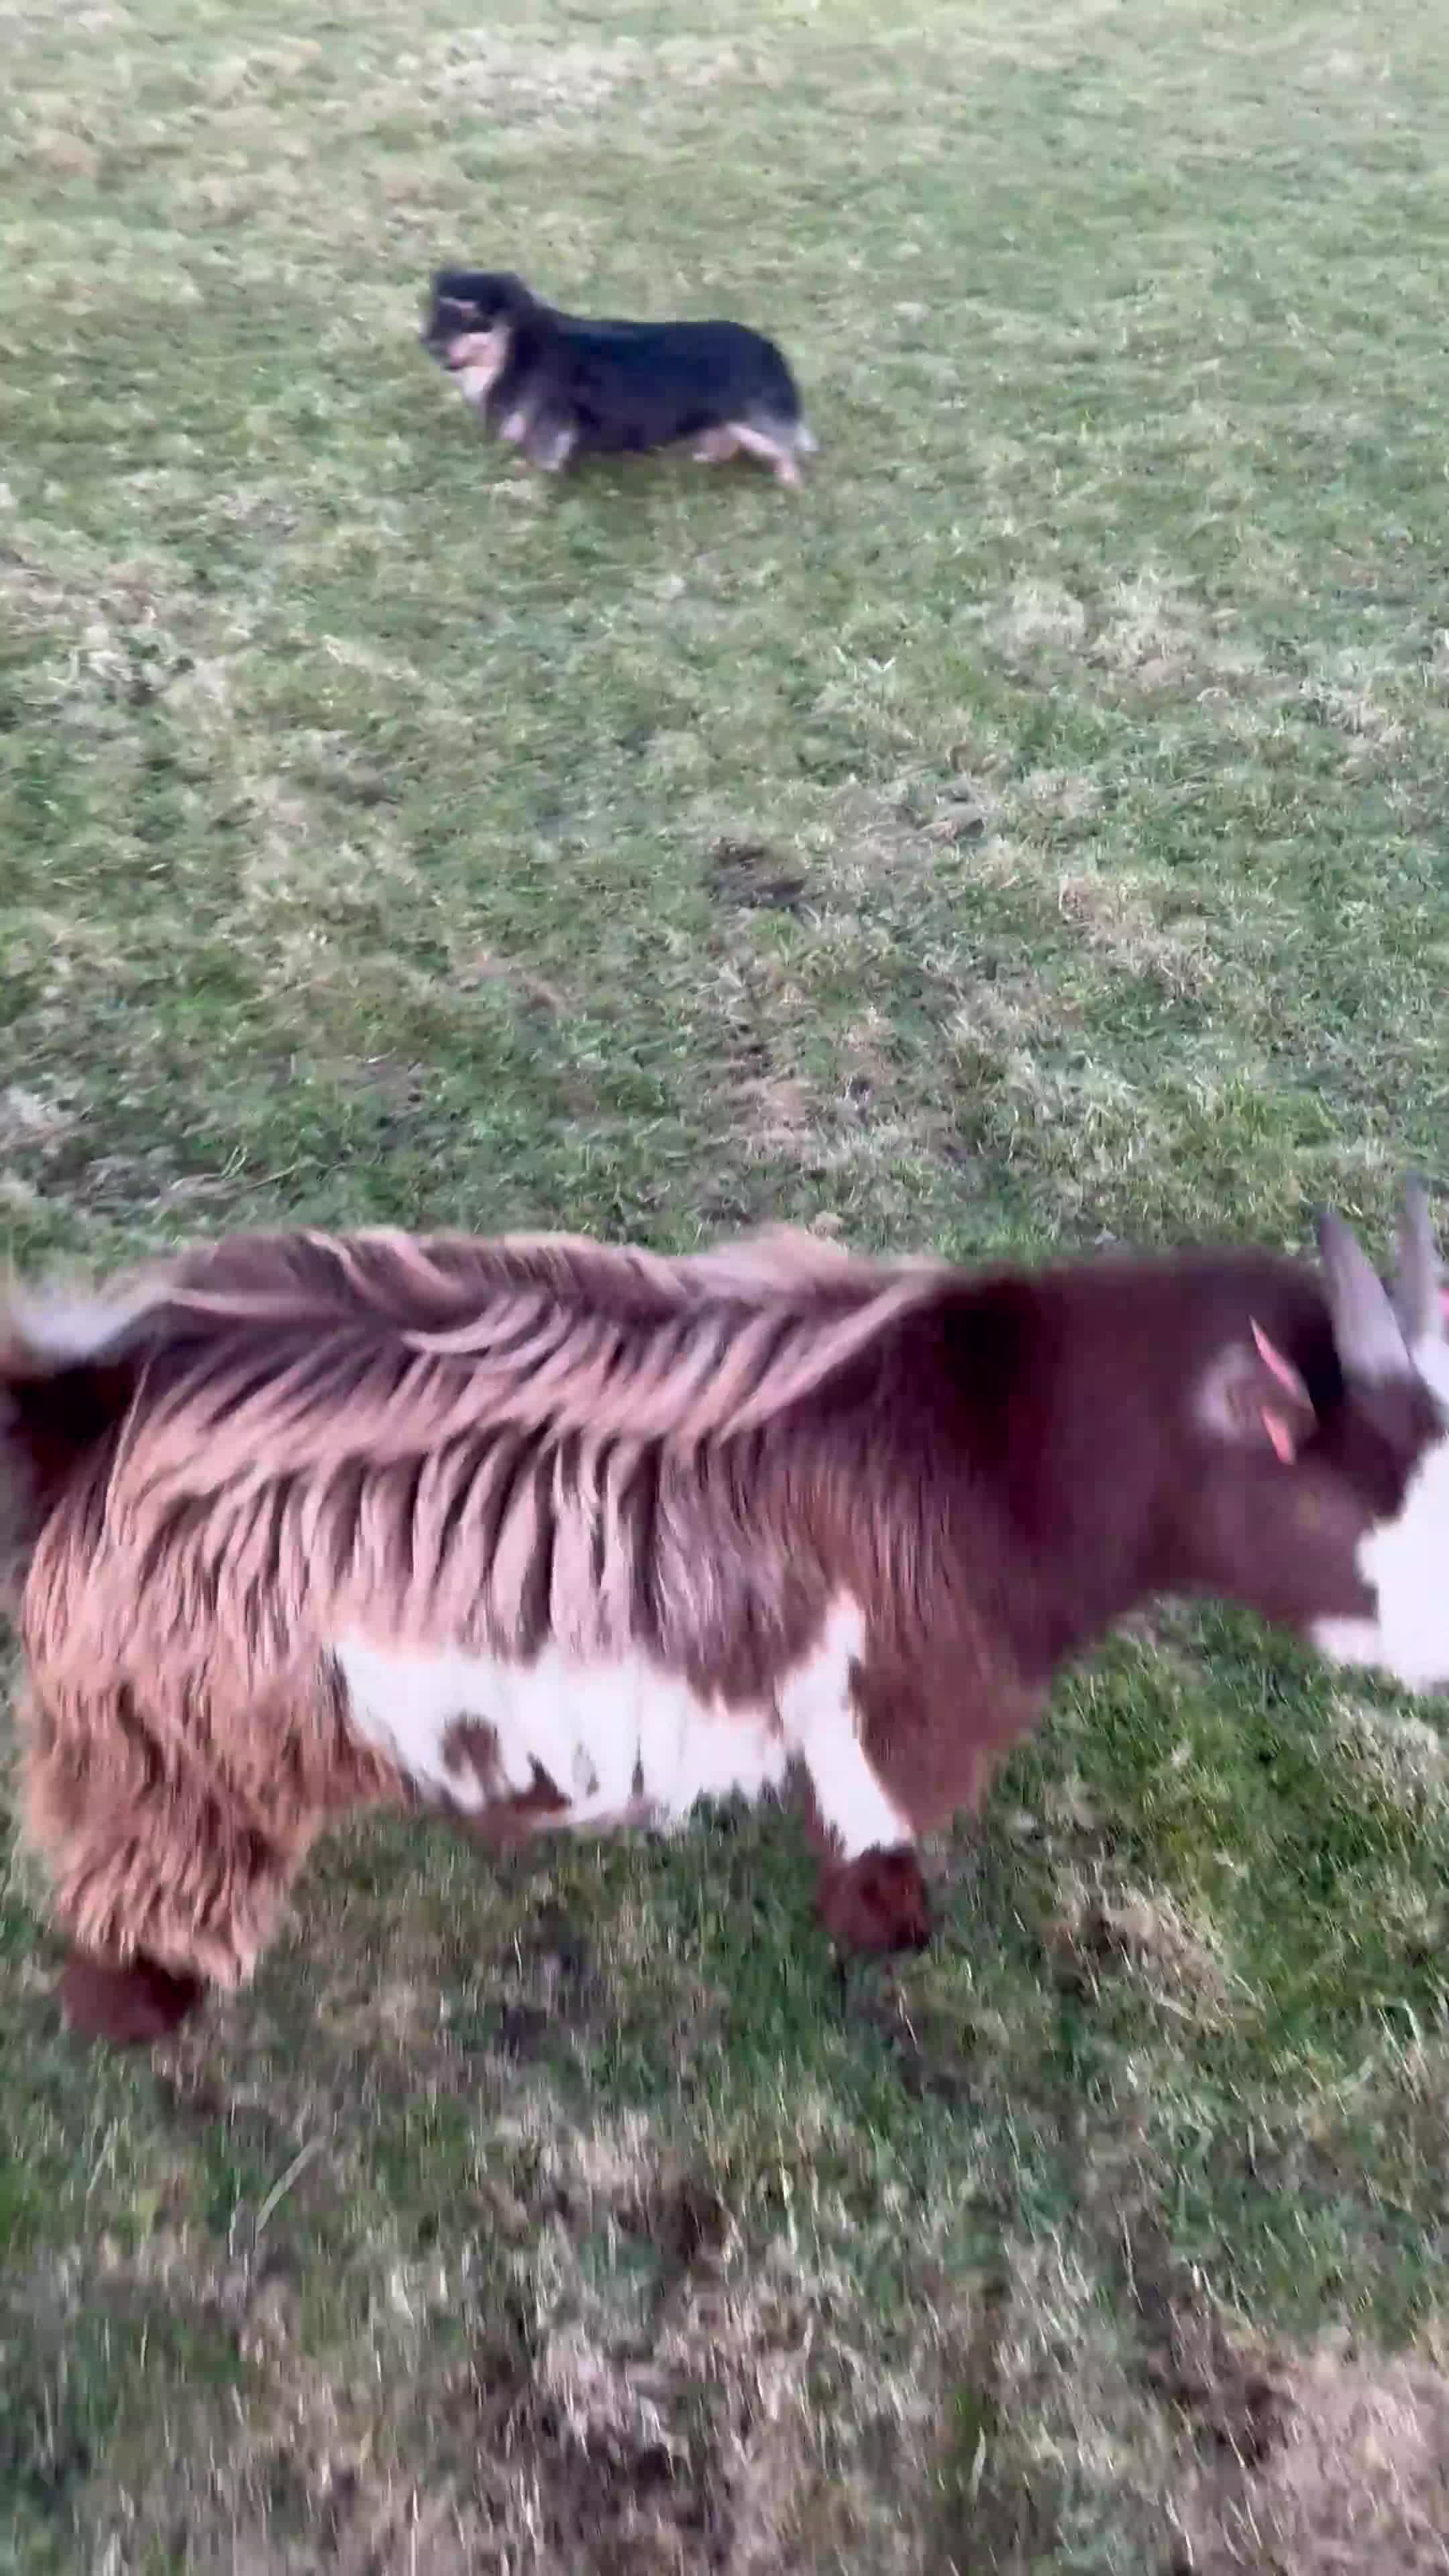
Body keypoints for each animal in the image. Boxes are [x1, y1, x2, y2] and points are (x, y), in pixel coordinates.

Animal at [2, 1185, 1447, 2048]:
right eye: (1358, 1504)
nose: (1440, 1651)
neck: (991, 1440)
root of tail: (89, 1403)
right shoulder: (907, 1688)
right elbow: (876, 1817)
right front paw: (887, 1930)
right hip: (186, 1732)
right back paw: (144, 2008)